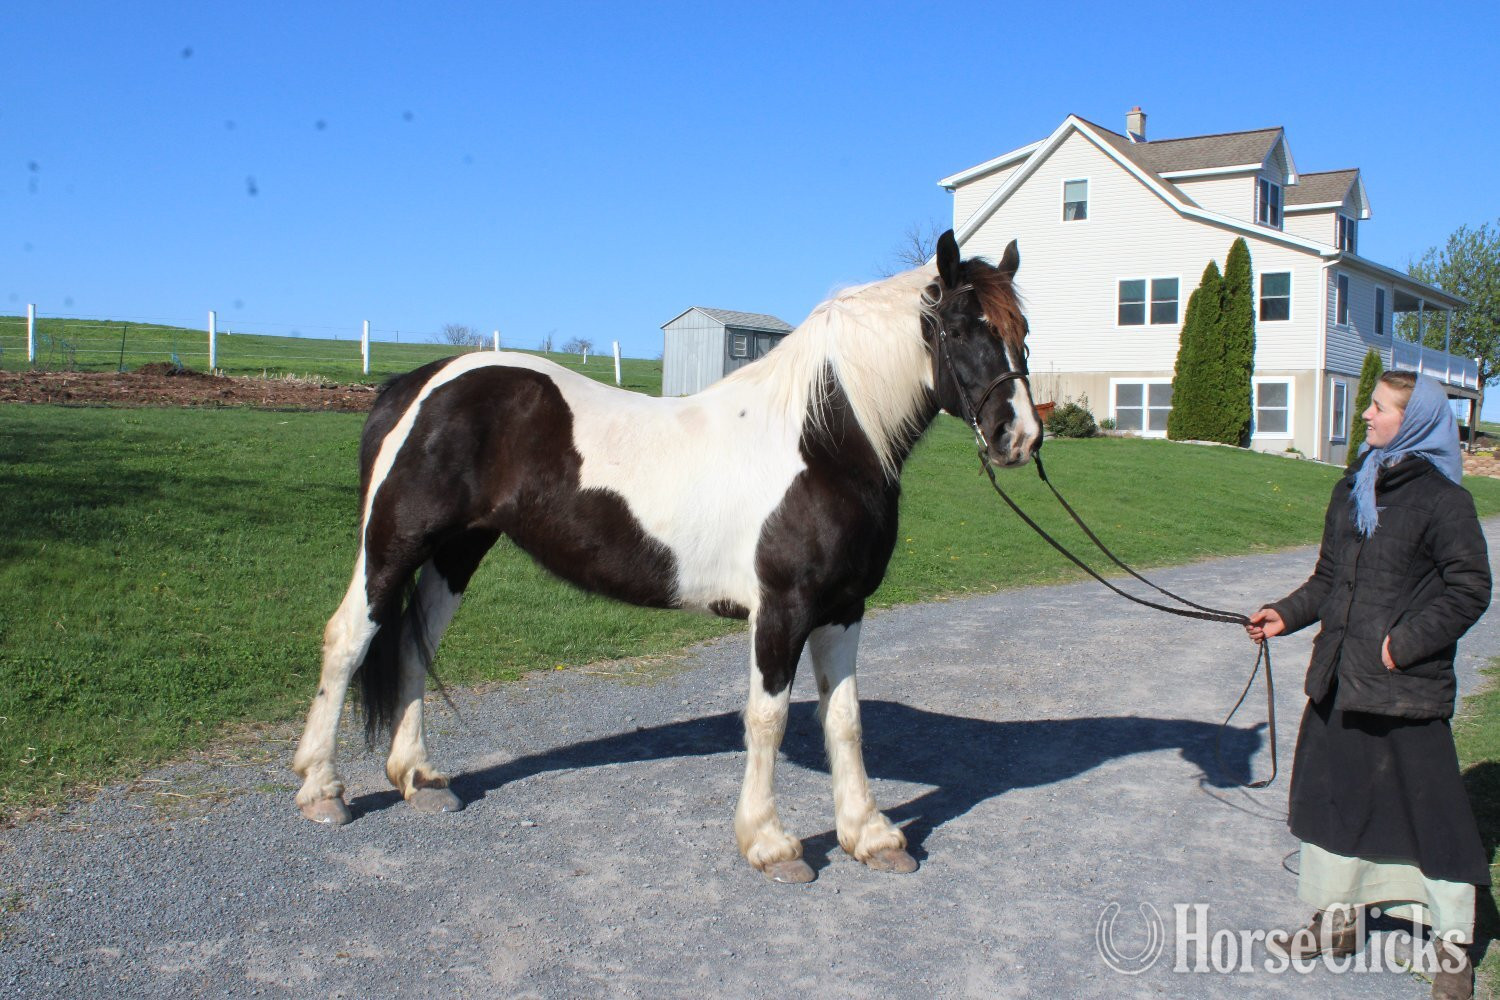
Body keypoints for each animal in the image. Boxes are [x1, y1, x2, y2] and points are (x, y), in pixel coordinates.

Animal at [292, 230, 1041, 883]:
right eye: (960, 328)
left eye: (1022, 333)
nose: (1021, 437)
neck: (822, 443)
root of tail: (413, 385)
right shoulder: (782, 609)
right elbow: (767, 718)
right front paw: (770, 845)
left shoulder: (845, 607)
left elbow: (845, 720)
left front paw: (871, 836)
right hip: (394, 543)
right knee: (349, 636)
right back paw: (323, 791)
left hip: (458, 551)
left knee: (414, 647)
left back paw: (418, 779)